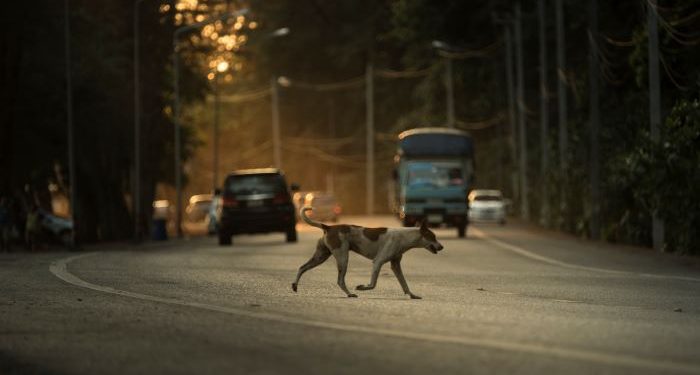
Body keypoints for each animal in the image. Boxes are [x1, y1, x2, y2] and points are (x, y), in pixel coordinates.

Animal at [292, 206, 442, 300]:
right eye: (433, 237)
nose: (442, 247)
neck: (405, 236)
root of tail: (328, 227)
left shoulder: (395, 265)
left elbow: (404, 283)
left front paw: (412, 295)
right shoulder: (378, 262)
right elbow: (373, 284)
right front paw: (362, 287)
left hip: (320, 256)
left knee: (302, 267)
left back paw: (294, 285)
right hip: (342, 258)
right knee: (340, 280)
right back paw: (350, 294)